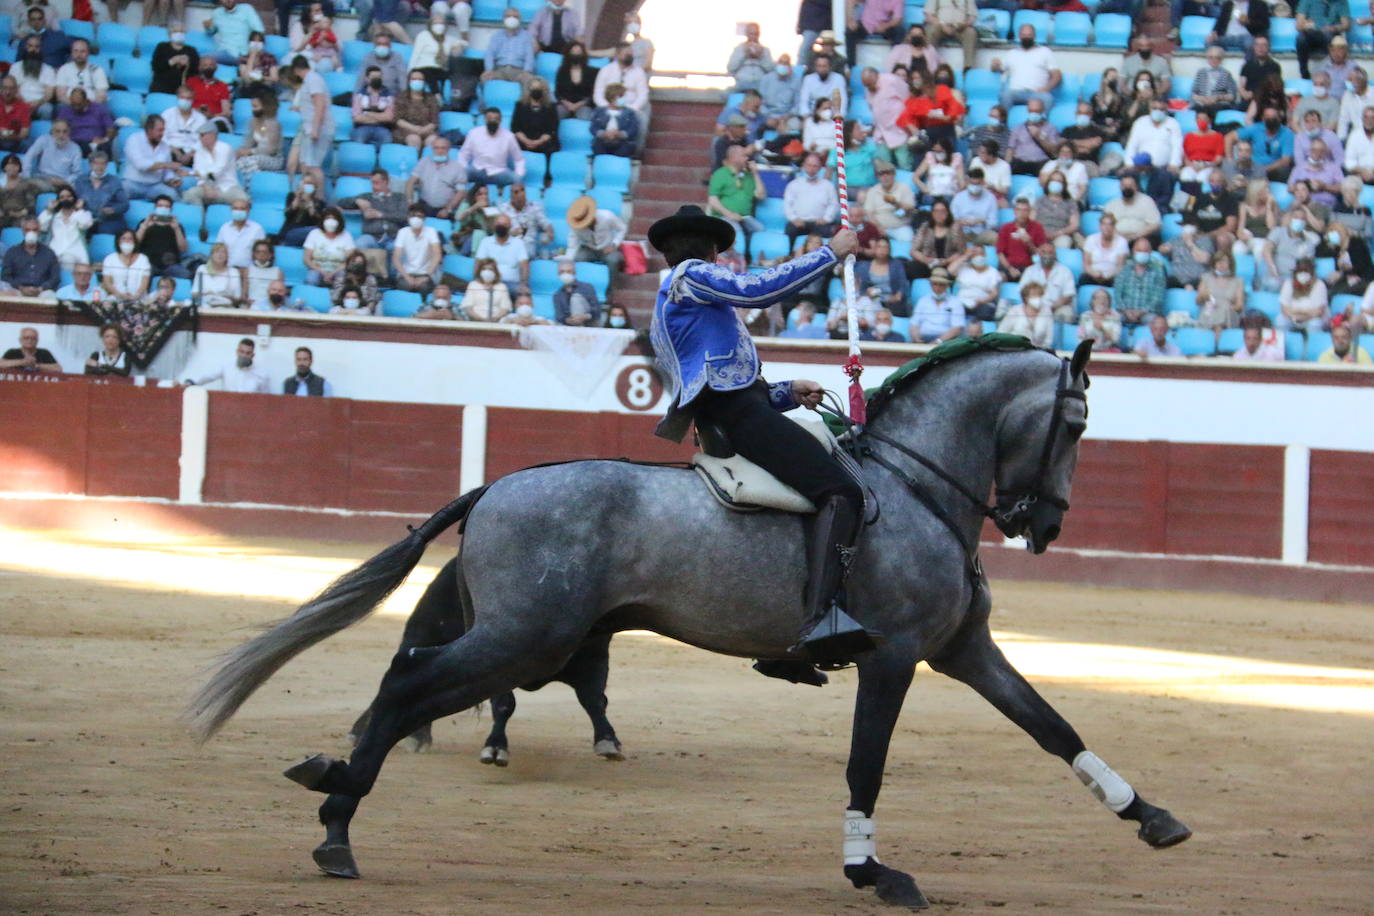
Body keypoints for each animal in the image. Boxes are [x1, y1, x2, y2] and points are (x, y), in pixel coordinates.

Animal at [185, 341, 1192, 911]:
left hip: (535, 640)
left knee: (418, 690)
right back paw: (336, 823)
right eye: (1075, 424)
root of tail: (496, 485)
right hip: (525, 637)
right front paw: (872, 873)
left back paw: (334, 793)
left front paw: (1149, 816)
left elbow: (1052, 723)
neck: (914, 482)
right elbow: (867, 763)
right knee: (409, 682)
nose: (1045, 524)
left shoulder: (962, 650)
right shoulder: (896, 657)